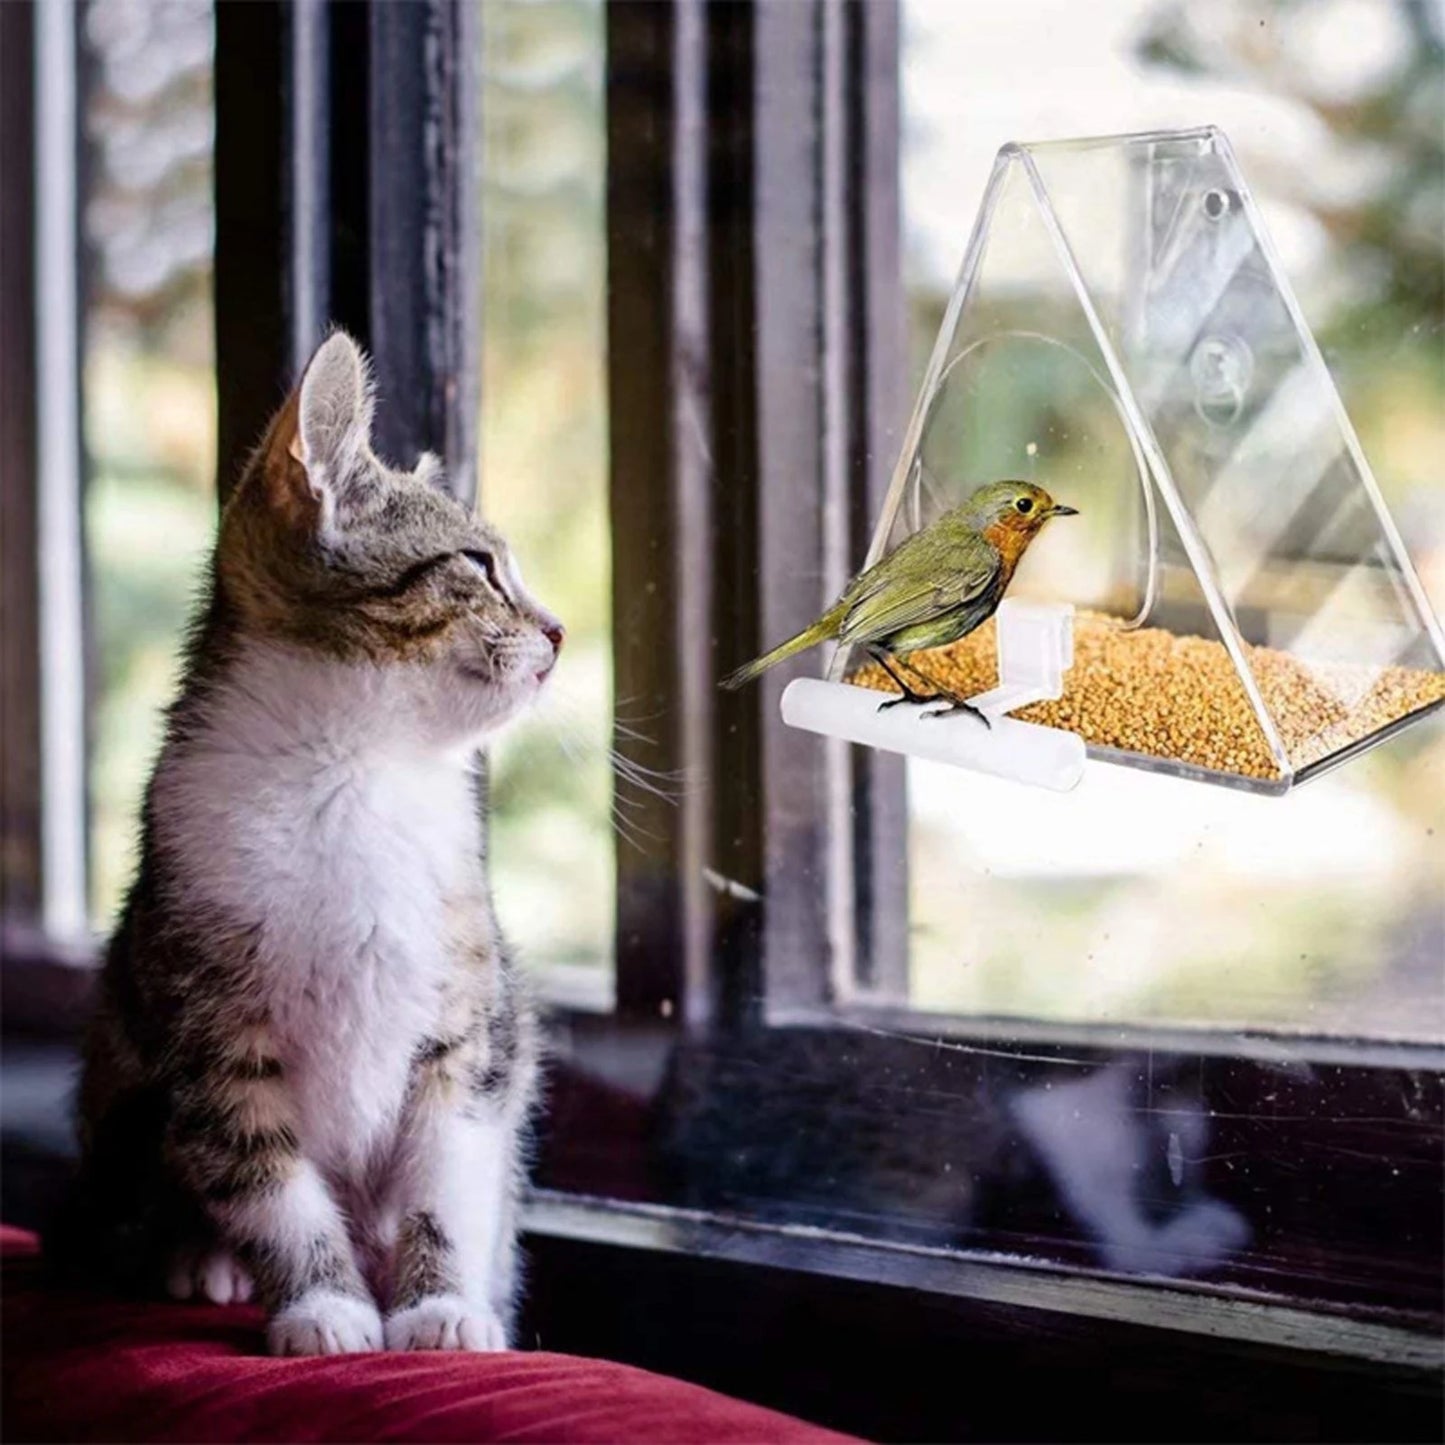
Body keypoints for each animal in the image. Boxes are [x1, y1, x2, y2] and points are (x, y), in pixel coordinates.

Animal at [59, 335, 551, 1352]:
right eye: (479, 565)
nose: (559, 632)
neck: (353, 772)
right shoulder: (210, 1028)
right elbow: (266, 1175)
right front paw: (322, 1302)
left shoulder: (468, 1023)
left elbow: (448, 1169)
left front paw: (441, 1303)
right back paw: (198, 1257)